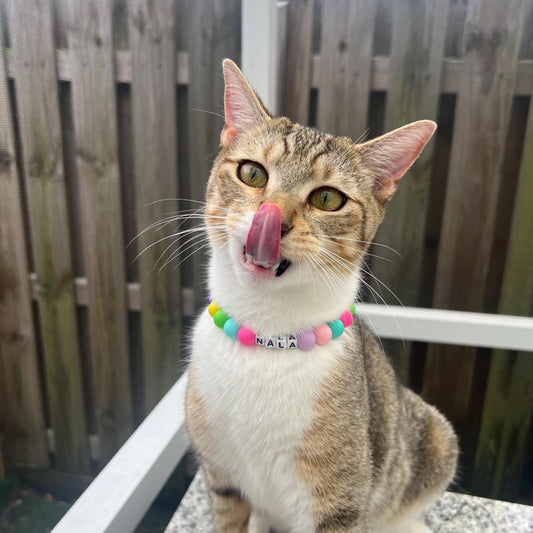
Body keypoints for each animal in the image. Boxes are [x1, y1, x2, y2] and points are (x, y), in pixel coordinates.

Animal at [184, 58, 458, 532]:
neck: (266, 336)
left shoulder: (340, 502)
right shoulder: (220, 474)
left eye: (328, 198)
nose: (273, 218)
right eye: (252, 173)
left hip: (435, 437)